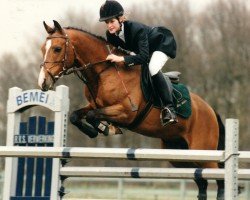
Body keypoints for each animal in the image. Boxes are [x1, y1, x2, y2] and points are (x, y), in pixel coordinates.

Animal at [38, 20, 226, 200]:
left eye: (57, 49)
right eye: (42, 49)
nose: (43, 82)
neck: (104, 72)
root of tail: (211, 110)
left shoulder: (126, 112)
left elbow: (92, 115)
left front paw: (106, 128)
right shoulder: (95, 105)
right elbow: (75, 116)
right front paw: (97, 130)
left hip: (203, 152)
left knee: (219, 177)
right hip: (179, 155)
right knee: (201, 181)